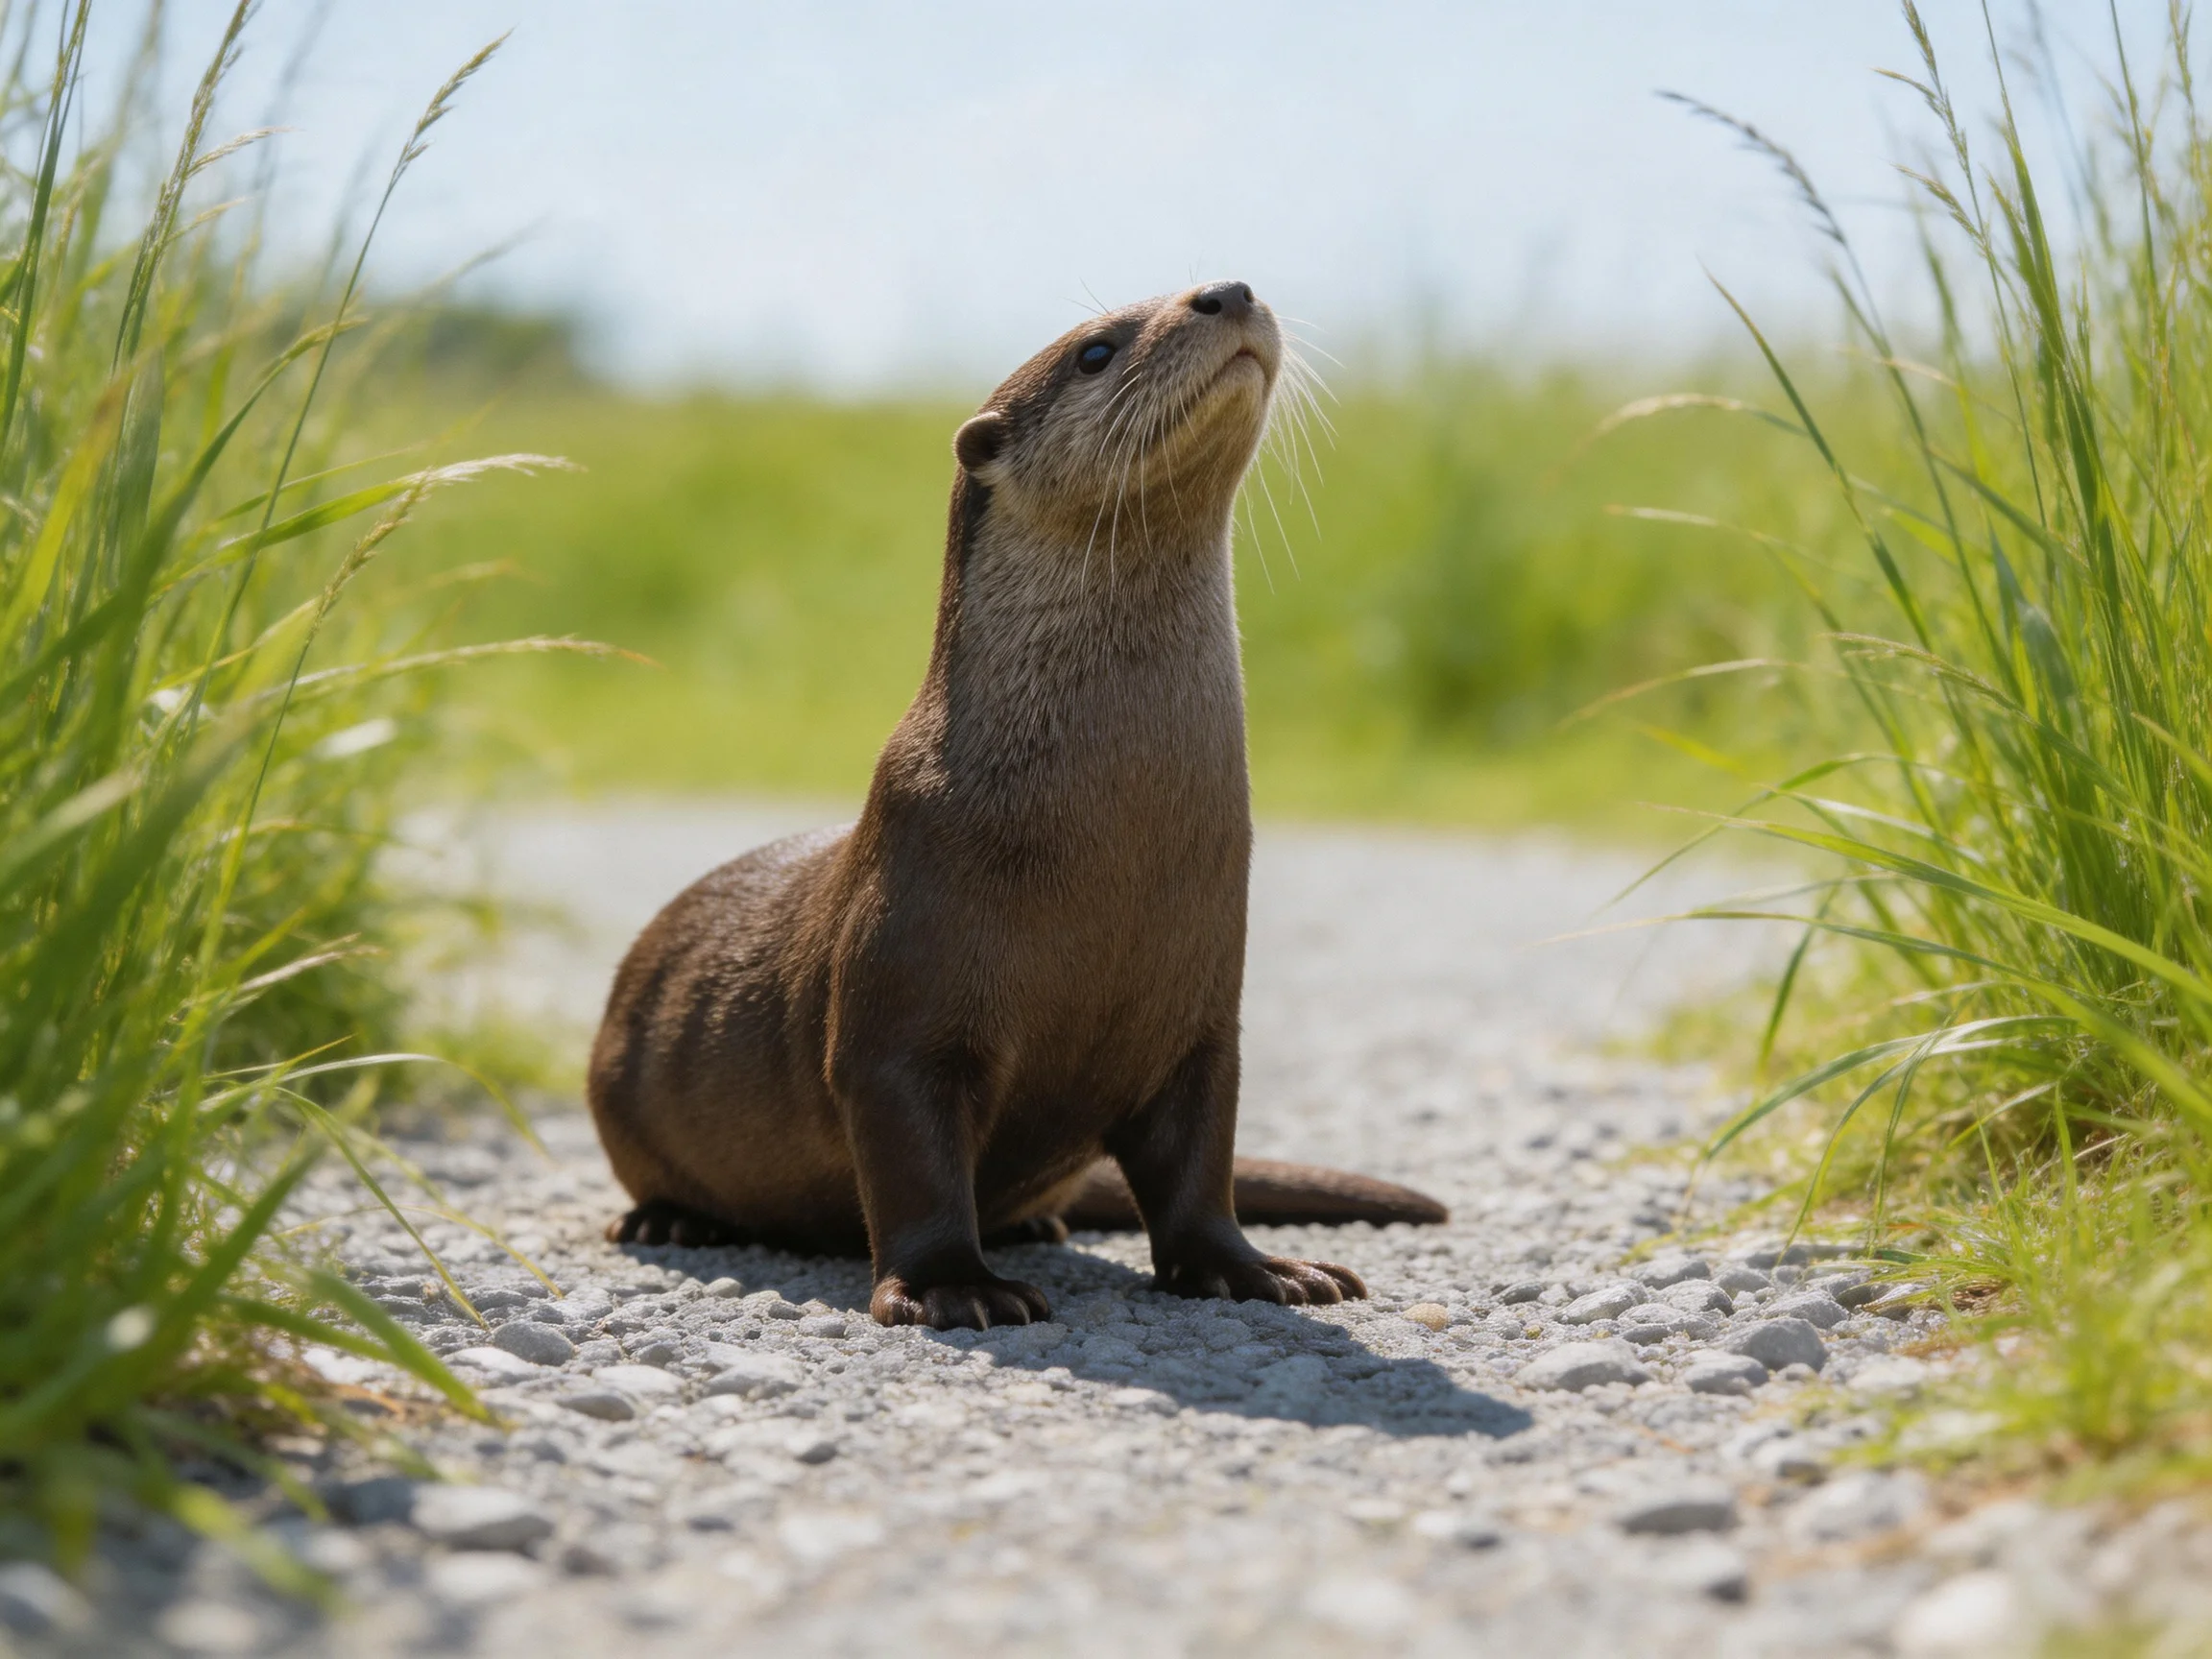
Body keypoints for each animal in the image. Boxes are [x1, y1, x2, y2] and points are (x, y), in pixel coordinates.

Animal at [587, 280, 1446, 1331]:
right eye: (1095, 350)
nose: (1229, 290)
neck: (1108, 839)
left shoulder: (1204, 1020)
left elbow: (1203, 1163)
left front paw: (1259, 1270)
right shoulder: (901, 1013)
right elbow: (913, 1161)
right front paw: (956, 1286)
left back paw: (1040, 1219)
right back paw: (672, 1219)